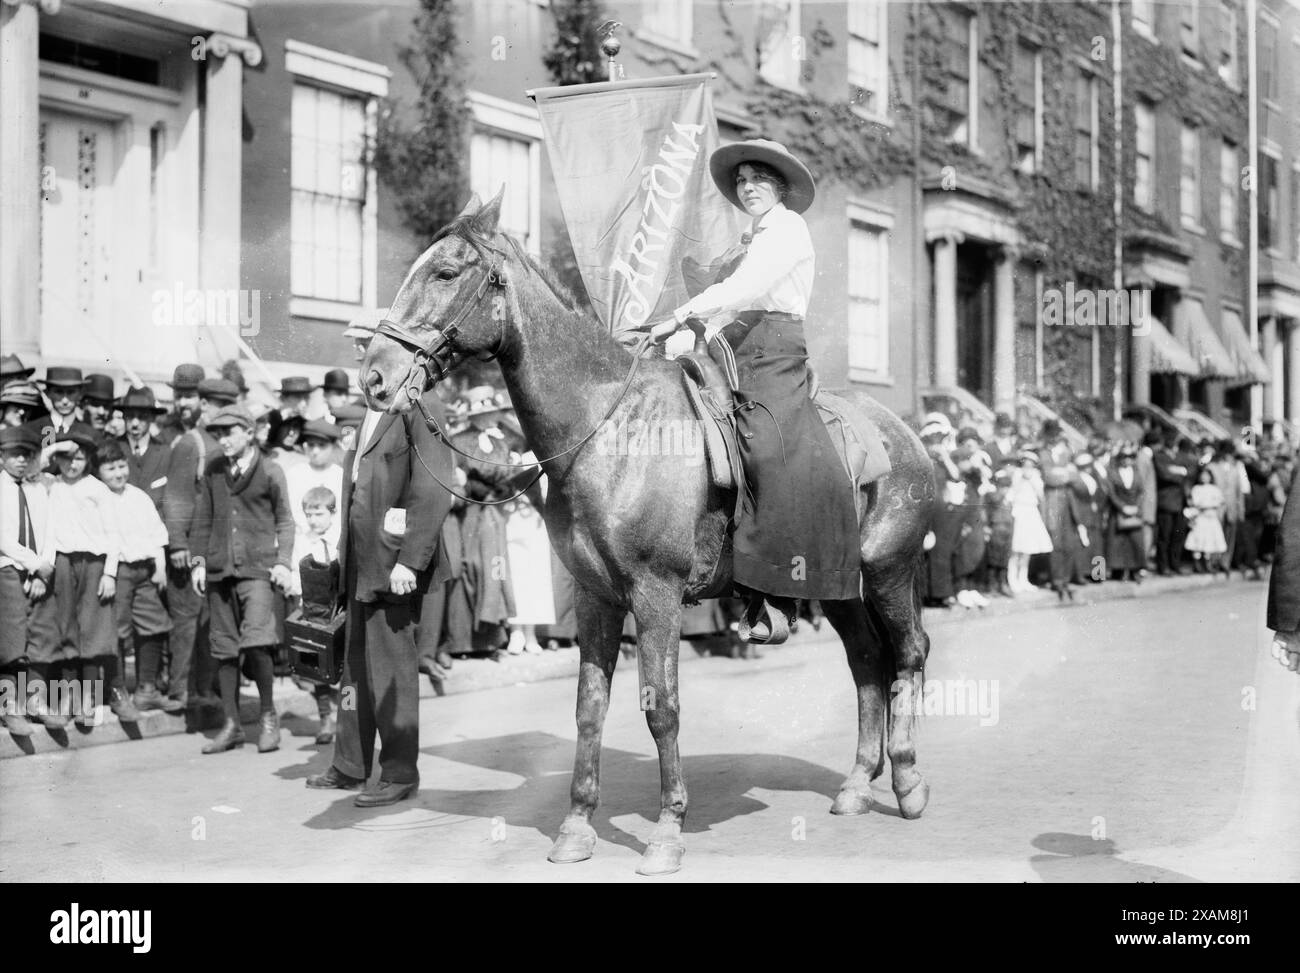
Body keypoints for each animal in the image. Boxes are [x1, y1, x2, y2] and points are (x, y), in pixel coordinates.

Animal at [361, 193, 941, 879]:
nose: (374, 378)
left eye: (446, 272)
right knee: (868, 663)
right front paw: (577, 828)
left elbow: (660, 707)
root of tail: (903, 435)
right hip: (840, 589)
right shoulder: (596, 597)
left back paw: (907, 782)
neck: (608, 430)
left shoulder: (656, 595)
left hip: (888, 573)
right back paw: (856, 785)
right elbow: (590, 707)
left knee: (908, 652)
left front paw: (667, 832)